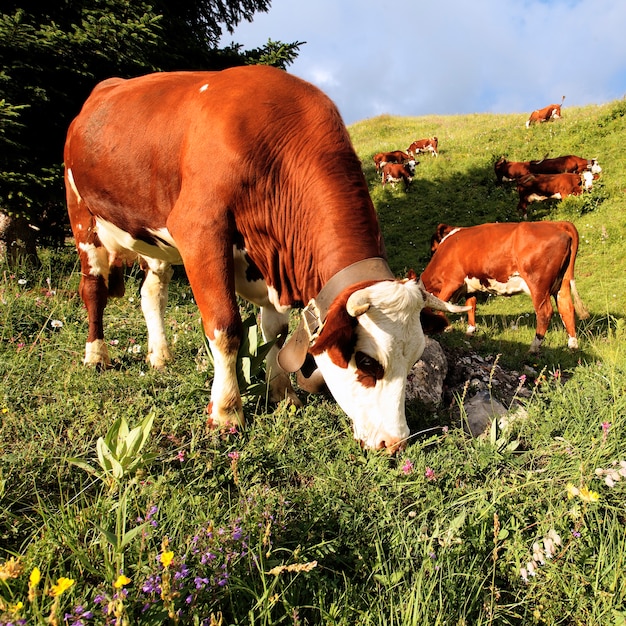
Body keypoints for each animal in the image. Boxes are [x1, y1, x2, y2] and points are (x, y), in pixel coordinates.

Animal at [64, 66, 468, 450]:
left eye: (414, 359)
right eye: (368, 361)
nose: (395, 443)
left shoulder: (270, 263)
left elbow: (275, 332)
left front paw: (283, 395)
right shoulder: (199, 230)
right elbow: (225, 327)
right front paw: (226, 412)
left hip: (153, 237)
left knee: (152, 294)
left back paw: (160, 355)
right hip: (82, 216)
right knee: (93, 290)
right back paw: (96, 355)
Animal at [422, 222, 588, 354]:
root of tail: (557, 223)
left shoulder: (452, 282)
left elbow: (442, 305)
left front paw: (446, 328)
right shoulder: (470, 286)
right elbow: (471, 306)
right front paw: (470, 331)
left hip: (538, 284)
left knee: (545, 312)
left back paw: (533, 348)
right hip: (562, 283)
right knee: (566, 308)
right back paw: (572, 346)